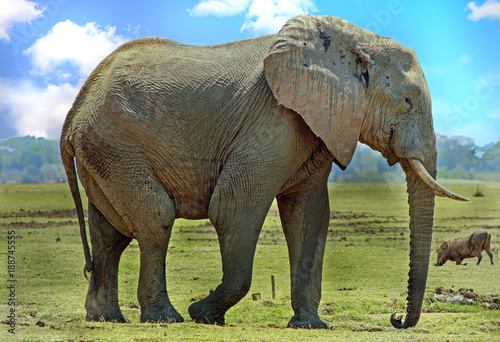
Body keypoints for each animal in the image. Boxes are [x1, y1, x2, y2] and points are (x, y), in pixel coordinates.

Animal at [60, 14, 466, 330]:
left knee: (109, 232)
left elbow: (309, 217)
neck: (354, 42)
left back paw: (105, 317)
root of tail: (73, 112)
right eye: (408, 101)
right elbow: (234, 206)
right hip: (115, 144)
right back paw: (166, 318)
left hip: (103, 152)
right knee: (155, 216)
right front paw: (203, 314)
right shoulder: (274, 118)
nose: (397, 319)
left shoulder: (315, 124)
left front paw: (310, 325)